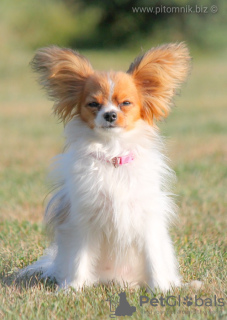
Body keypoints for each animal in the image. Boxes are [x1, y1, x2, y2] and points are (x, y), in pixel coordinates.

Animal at [21, 42, 191, 292]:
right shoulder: (83, 219)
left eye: (126, 103)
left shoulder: (146, 219)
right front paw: (73, 289)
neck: (113, 155)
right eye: (93, 104)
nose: (110, 114)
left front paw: (161, 290)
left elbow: (153, 259)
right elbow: (80, 258)